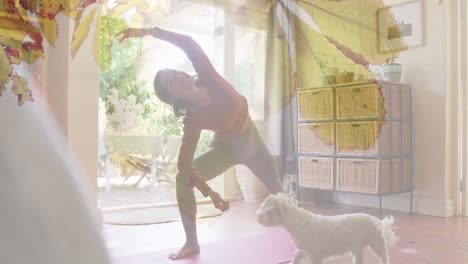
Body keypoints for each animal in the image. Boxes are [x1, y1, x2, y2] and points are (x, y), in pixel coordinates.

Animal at [256, 193, 398, 262]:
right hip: (358, 248)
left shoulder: (315, 256)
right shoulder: (302, 250)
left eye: (265, 210)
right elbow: (295, 257)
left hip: (377, 244)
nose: (257, 216)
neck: (296, 220)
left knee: (384, 257)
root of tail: (377, 220)